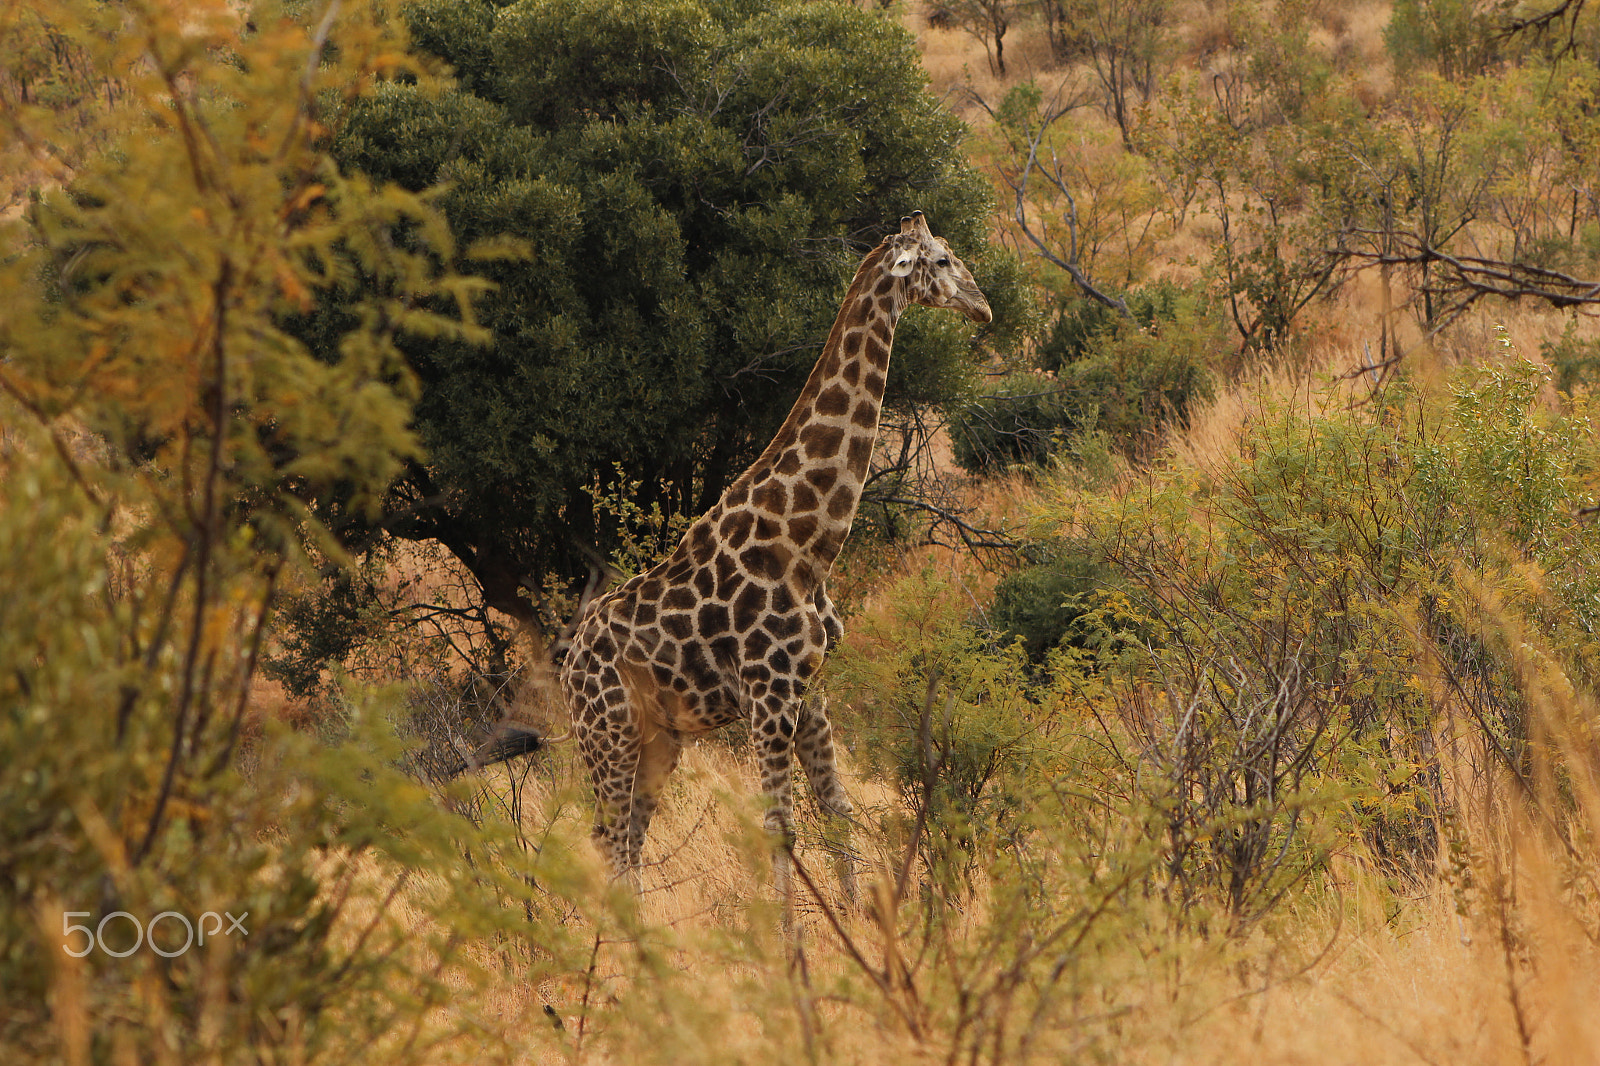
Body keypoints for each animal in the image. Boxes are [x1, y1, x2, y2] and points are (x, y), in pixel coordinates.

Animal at [560, 211, 992, 895]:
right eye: (944, 260)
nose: (983, 307)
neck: (809, 546)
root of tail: (569, 664)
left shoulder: (810, 691)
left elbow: (838, 810)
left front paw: (859, 917)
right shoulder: (768, 693)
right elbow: (779, 829)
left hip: (660, 740)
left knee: (627, 840)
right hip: (609, 734)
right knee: (608, 840)